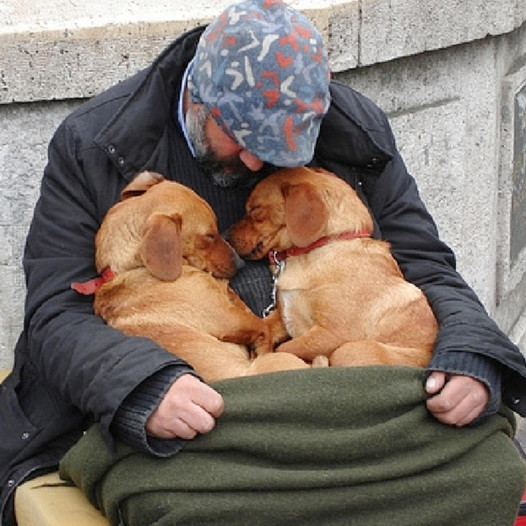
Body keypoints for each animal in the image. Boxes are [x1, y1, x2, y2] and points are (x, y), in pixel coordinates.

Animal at [70, 173, 310, 384]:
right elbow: (262, 328)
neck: (132, 268)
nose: (240, 263)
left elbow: (254, 312)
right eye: (209, 235)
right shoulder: (227, 319)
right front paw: (264, 344)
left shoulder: (230, 304)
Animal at [229, 167, 440, 370]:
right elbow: (263, 325)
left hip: (349, 350)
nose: (226, 236)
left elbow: (285, 349)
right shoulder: (283, 315)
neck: (325, 244)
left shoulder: (331, 334)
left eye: (255, 209)